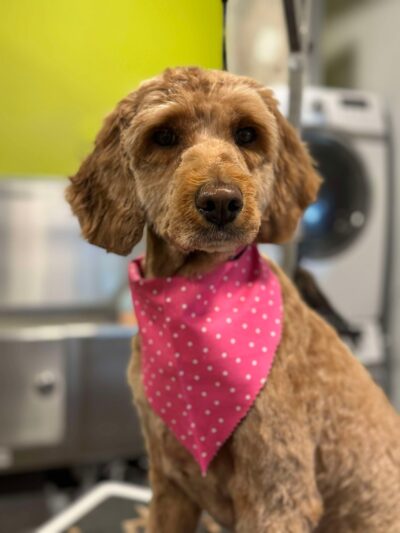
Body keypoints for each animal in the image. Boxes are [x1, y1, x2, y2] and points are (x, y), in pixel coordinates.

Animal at [66, 67, 400, 532]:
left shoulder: (278, 493)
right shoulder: (169, 481)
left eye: (246, 133)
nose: (221, 201)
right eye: (164, 135)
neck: (196, 291)